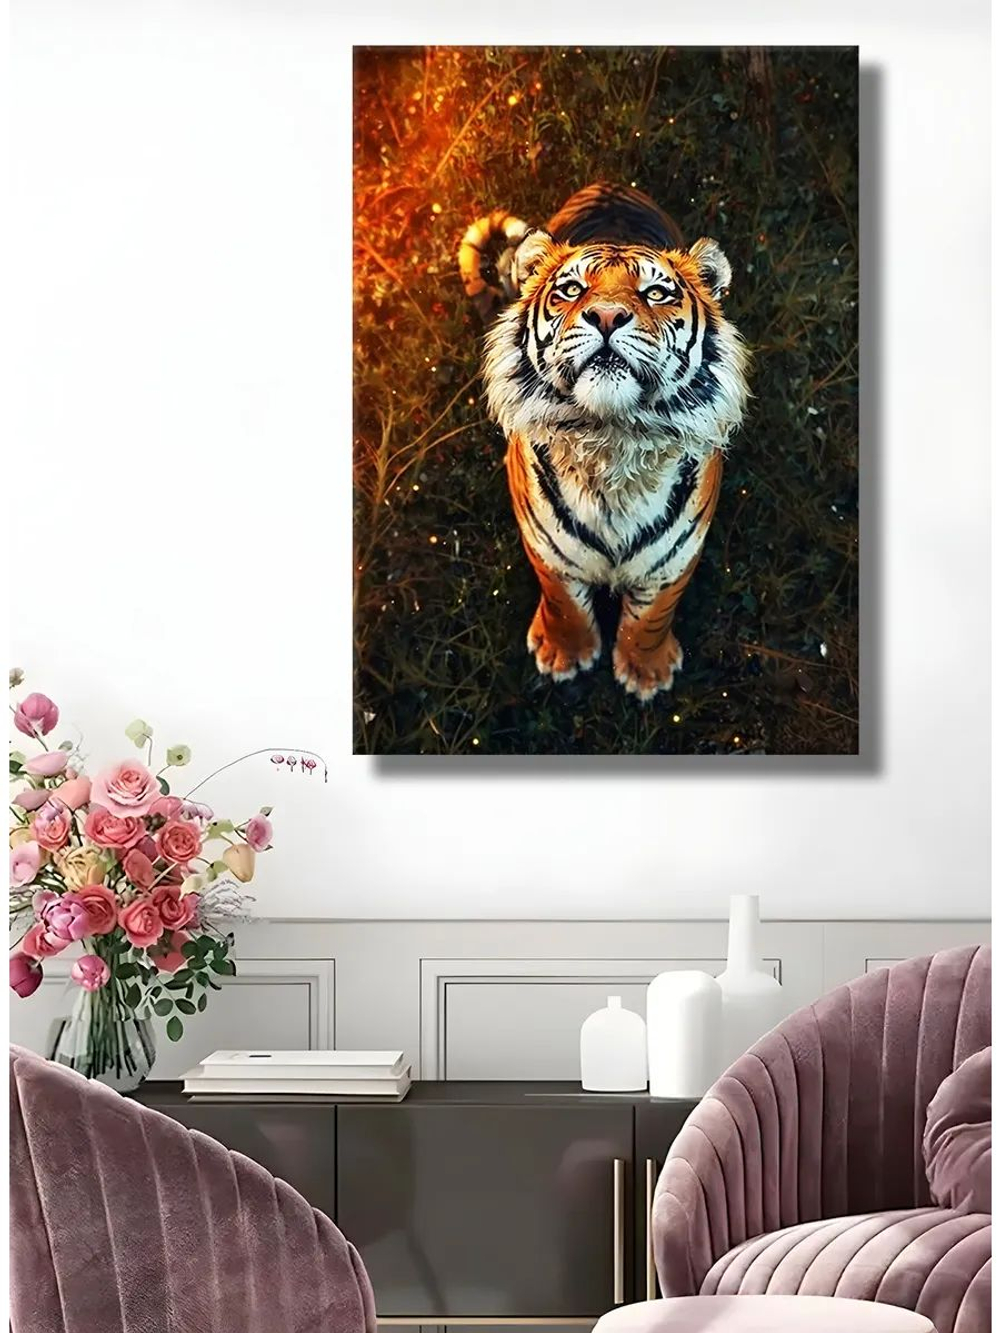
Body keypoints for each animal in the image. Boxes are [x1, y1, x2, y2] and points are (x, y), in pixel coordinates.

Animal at [458, 182, 750, 701]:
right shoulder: (547, 547)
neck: (611, 437)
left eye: (656, 293)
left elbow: (651, 618)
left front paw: (645, 673)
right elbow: (564, 603)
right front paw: (564, 655)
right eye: (572, 290)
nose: (608, 315)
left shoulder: (676, 556)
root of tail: (606, 185)